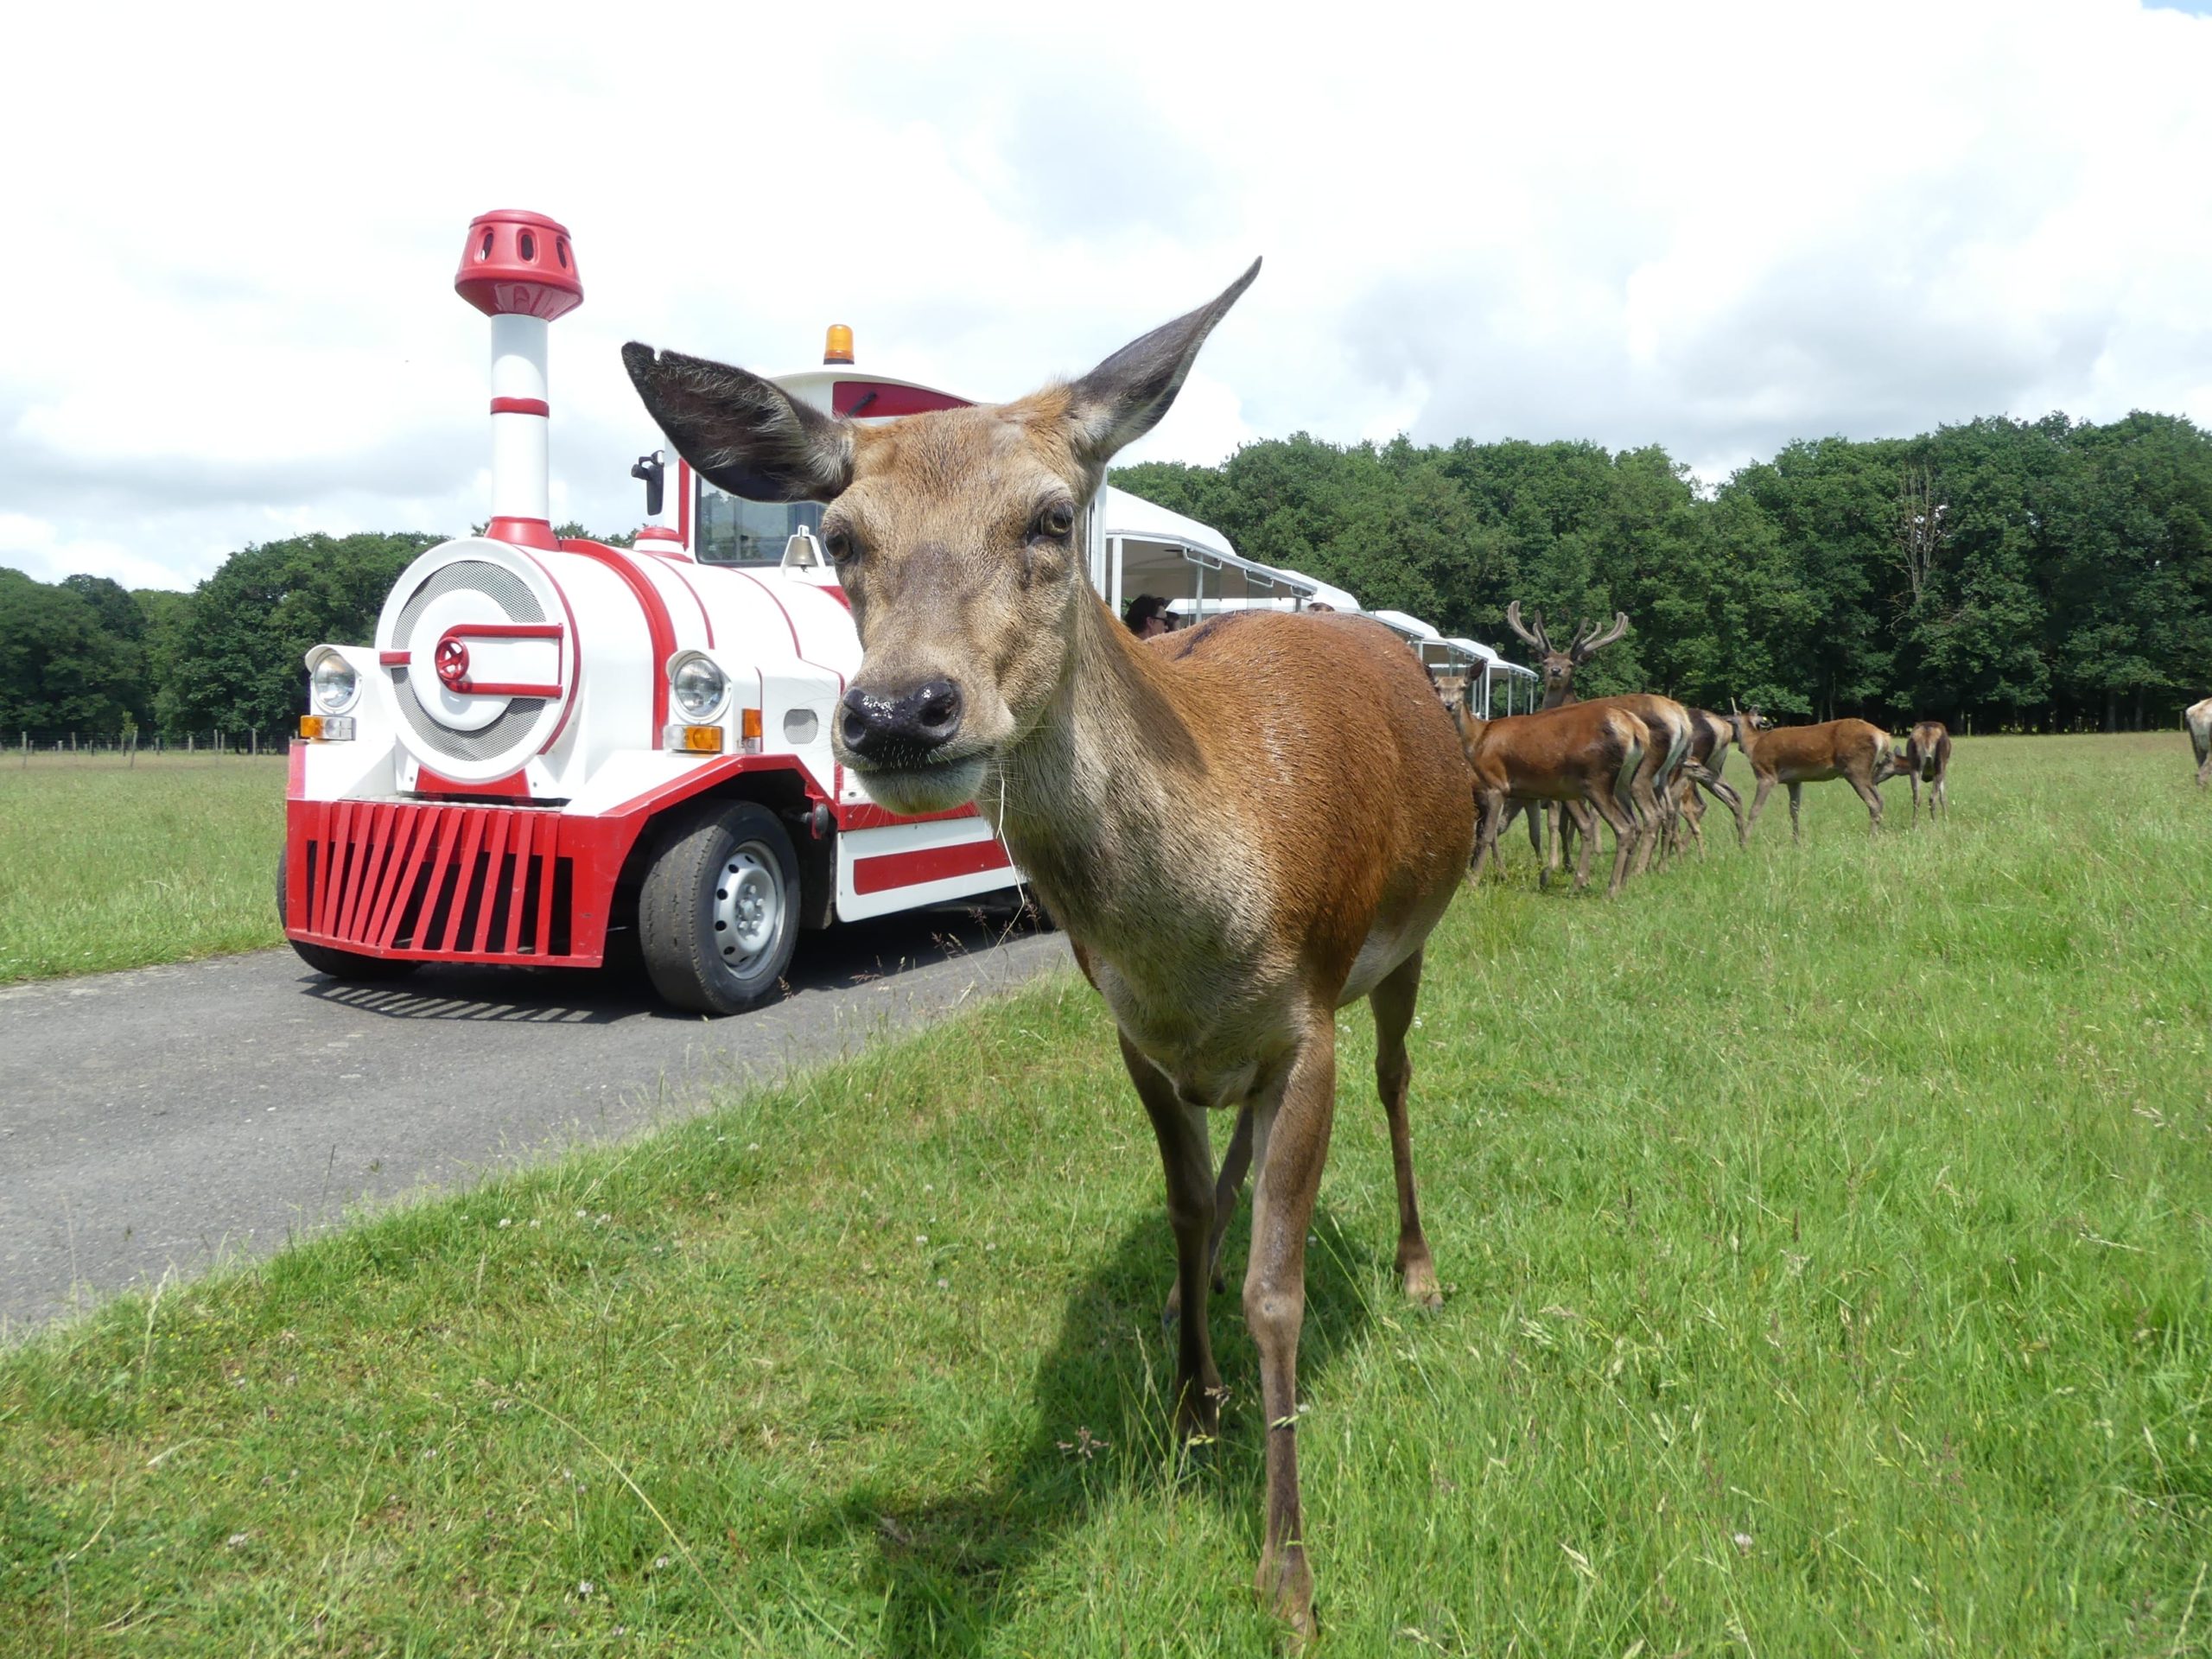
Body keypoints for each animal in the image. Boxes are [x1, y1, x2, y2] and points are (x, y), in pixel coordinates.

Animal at [619, 266, 1468, 1645]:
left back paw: (1418, 1269)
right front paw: (1191, 1406)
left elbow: (1277, 1288)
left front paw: (1289, 1582)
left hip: (1407, 943)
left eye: (1053, 516)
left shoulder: (1309, 1022)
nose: (898, 712)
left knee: (1400, 1083)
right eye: (840, 536)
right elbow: (1186, 1212)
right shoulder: (1135, 1035)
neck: (1203, 931)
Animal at [1459, 703, 1654, 898]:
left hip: (1594, 782)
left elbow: (1490, 832)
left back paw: (1609, 889)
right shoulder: (1528, 796)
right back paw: (1620, 883)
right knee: (1634, 824)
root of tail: (1636, 728)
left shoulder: (1498, 791)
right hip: (1620, 783)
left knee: (1621, 826)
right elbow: (1533, 834)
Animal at [1725, 708, 1902, 849]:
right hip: (1869, 772)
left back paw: (1871, 838)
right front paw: (1796, 842)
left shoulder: (1766, 774)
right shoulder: (1794, 780)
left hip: (1855, 768)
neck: (1753, 744)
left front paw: (1743, 842)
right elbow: (1794, 810)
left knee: (1873, 802)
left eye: (1733, 723)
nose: (1739, 747)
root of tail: (1883, 736)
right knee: (1881, 800)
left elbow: (1754, 809)